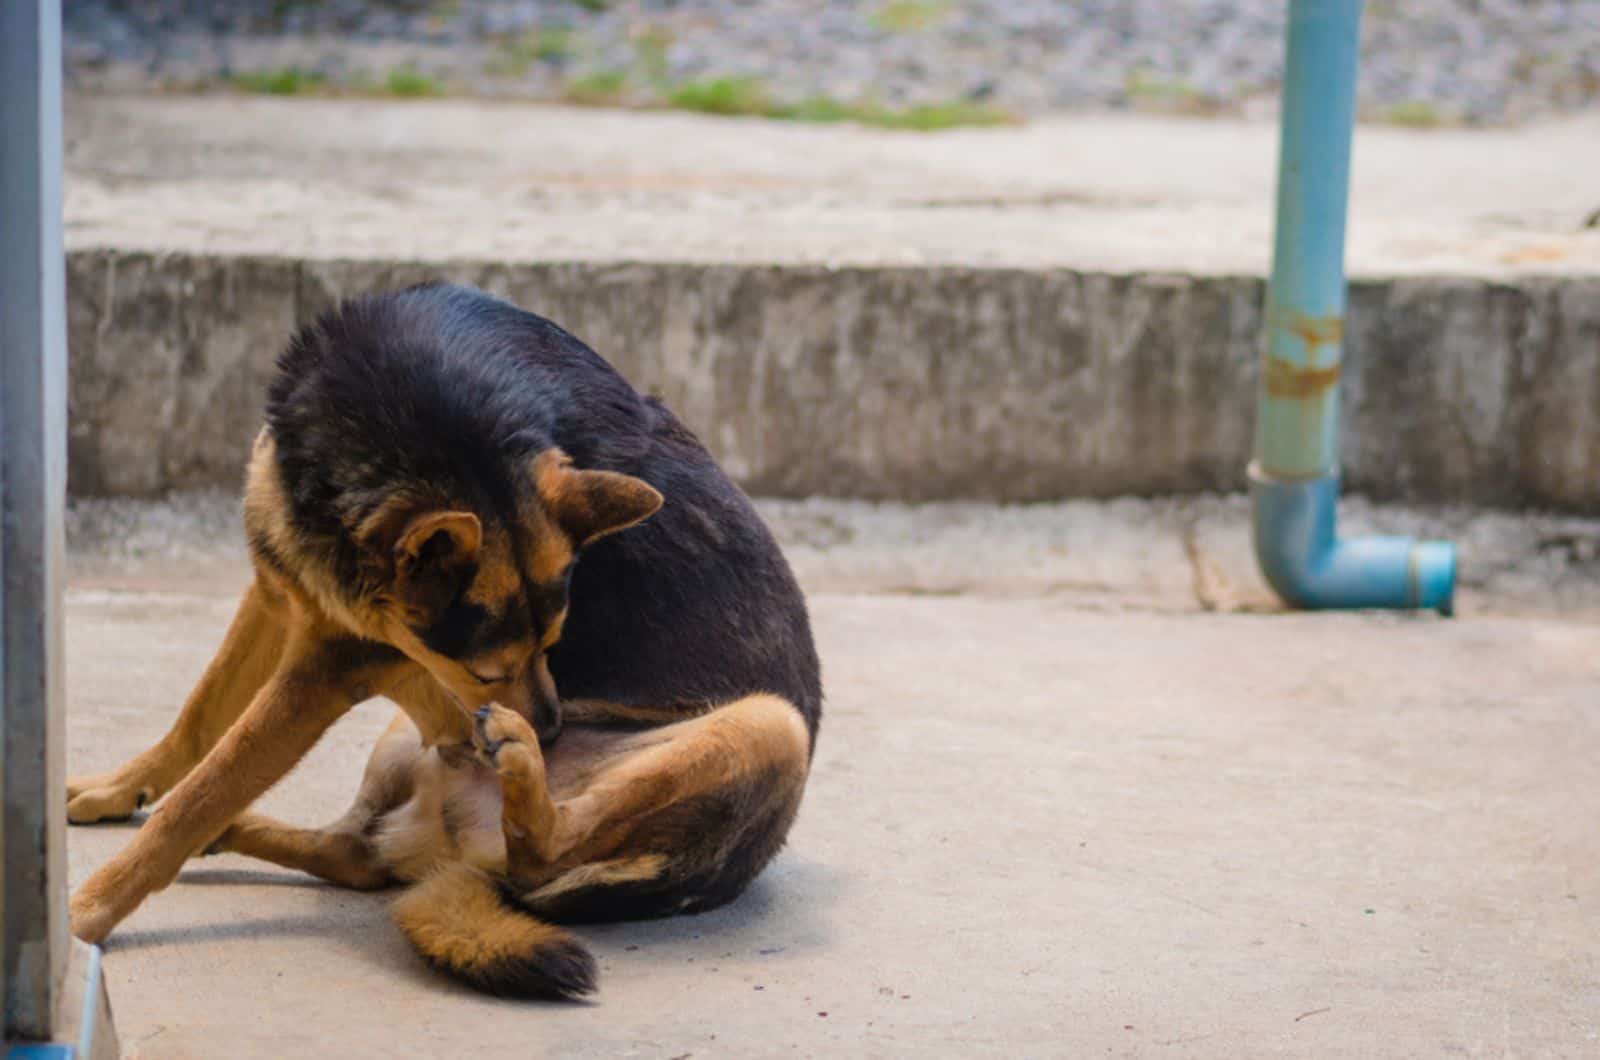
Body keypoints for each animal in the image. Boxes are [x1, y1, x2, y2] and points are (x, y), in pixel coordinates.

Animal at [67, 280, 825, 999]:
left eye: (556, 640)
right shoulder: (281, 590)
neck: (424, 426)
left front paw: (87, 911)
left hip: (769, 725)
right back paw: (249, 829)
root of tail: (463, 857)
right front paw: (121, 790)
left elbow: (200, 793)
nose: (553, 730)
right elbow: (198, 724)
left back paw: (518, 767)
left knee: (538, 849)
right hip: (408, 740)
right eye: (490, 673)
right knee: (356, 854)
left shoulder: (330, 664)